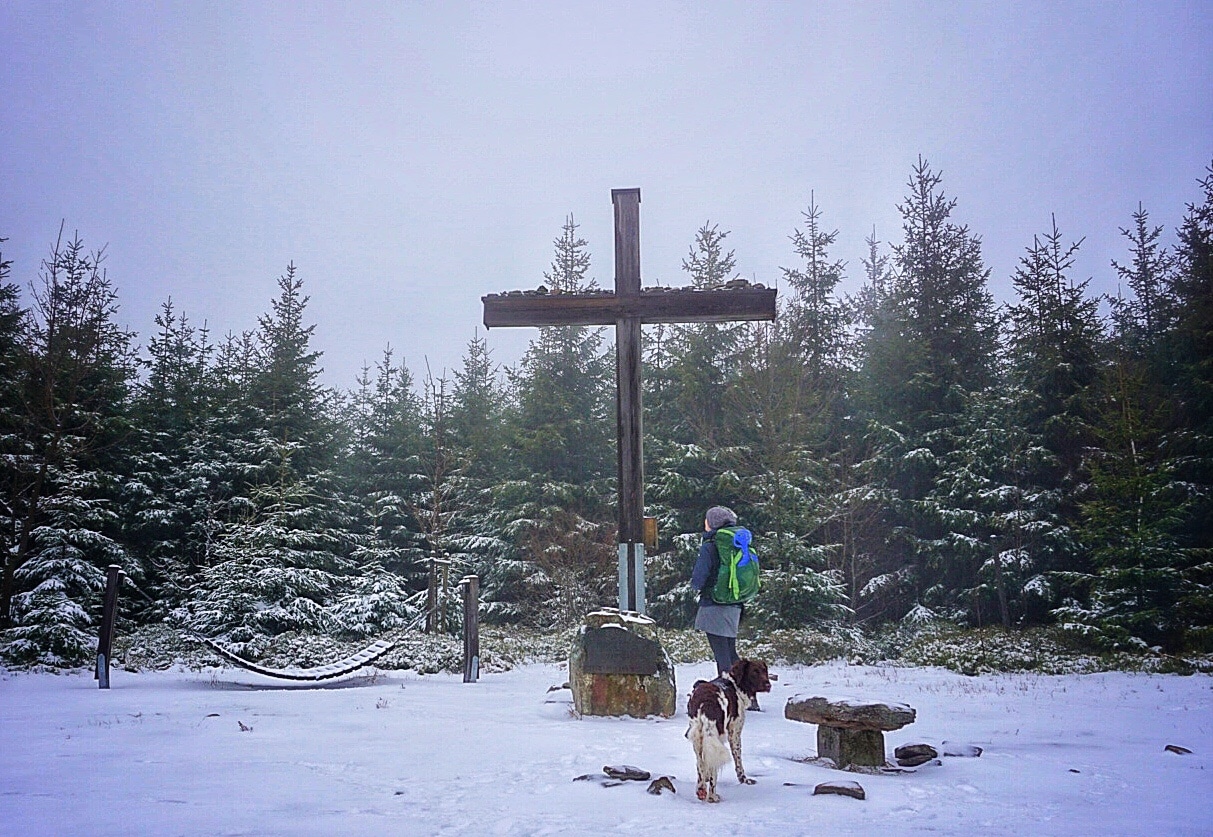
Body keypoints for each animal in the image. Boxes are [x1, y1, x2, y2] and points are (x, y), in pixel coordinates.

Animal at [688, 655, 771, 800]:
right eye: (754, 672)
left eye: (764, 670)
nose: (768, 685)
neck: (735, 685)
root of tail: (705, 703)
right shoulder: (734, 733)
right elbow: (738, 760)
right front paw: (744, 780)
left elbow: (704, 765)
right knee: (713, 772)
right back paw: (713, 797)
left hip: (697, 737)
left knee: (700, 764)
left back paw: (701, 790)